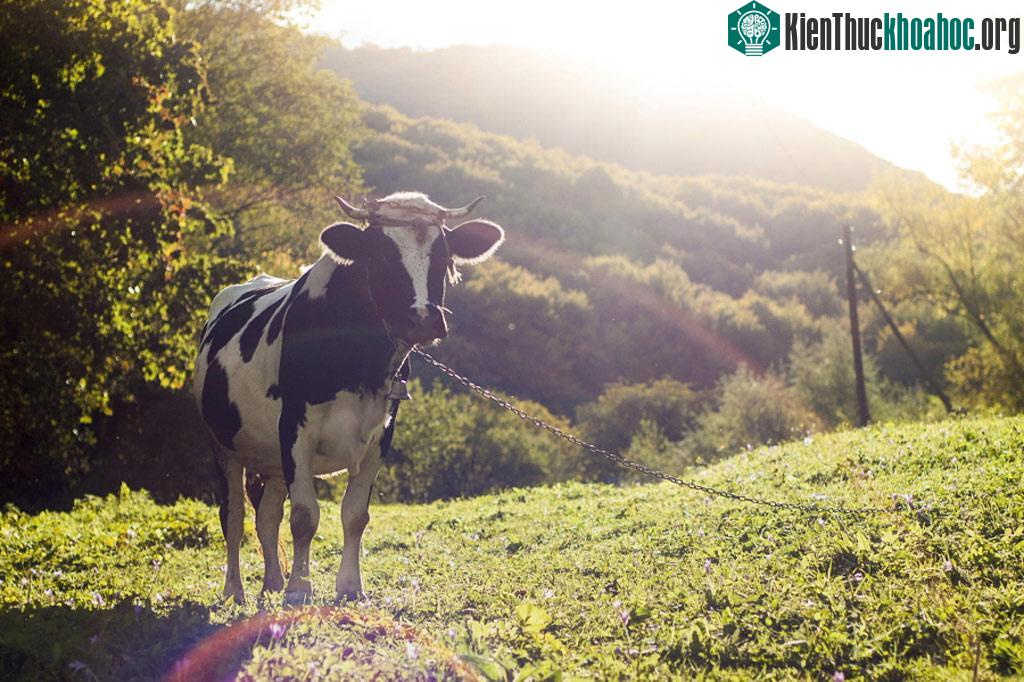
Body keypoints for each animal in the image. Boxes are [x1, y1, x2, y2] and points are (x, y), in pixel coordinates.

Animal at [192, 192, 504, 605]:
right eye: (381, 257)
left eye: (445, 258)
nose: (422, 320)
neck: (359, 358)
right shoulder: (294, 428)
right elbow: (305, 515)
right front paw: (299, 590)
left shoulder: (381, 432)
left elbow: (355, 515)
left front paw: (350, 587)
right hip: (222, 445)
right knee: (233, 517)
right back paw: (234, 592)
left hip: (270, 456)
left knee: (267, 516)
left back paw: (271, 582)